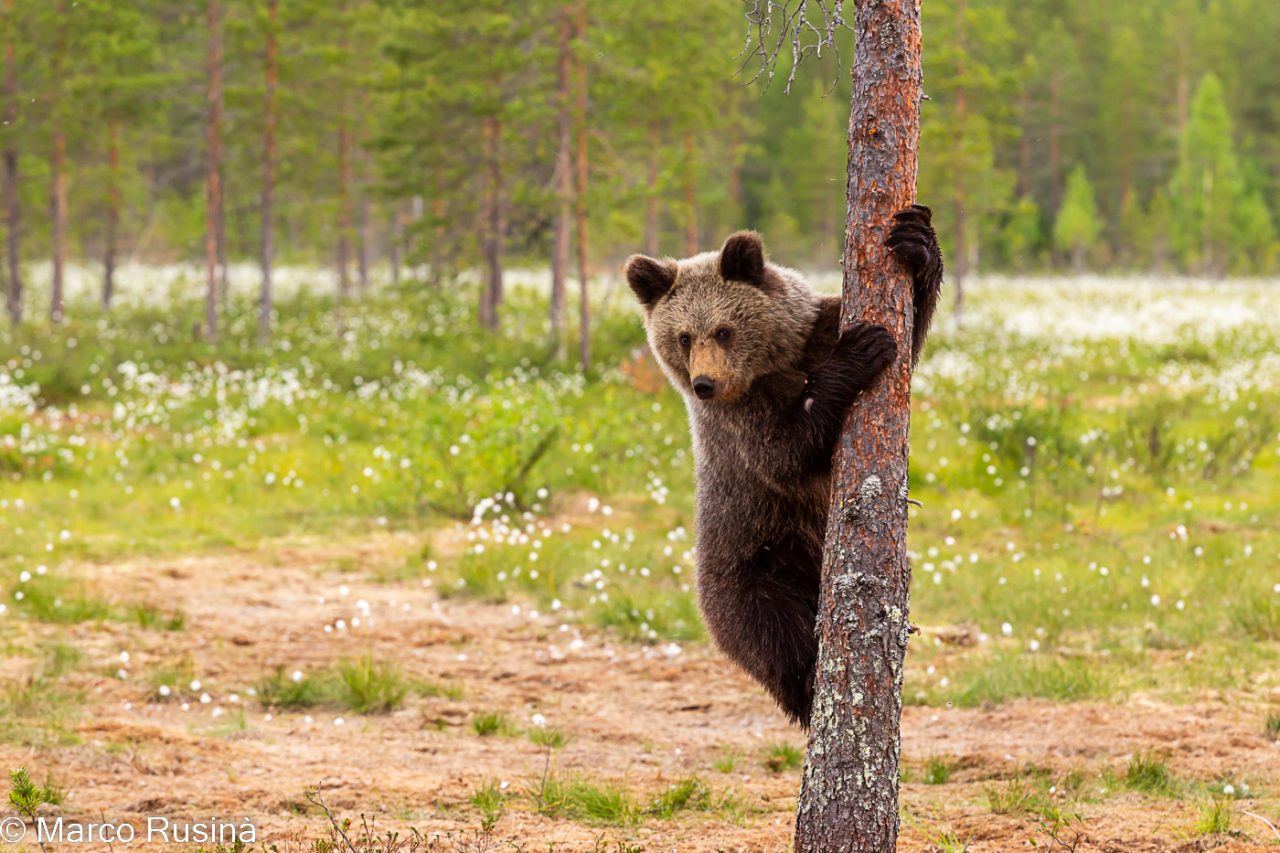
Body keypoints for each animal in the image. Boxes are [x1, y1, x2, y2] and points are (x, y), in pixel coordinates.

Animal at [627, 206, 942, 722]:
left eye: (724, 330)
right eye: (684, 336)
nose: (704, 383)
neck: (776, 364)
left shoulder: (816, 330)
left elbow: (909, 337)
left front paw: (916, 241)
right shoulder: (740, 422)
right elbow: (785, 454)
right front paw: (859, 352)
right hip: (756, 562)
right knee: (775, 636)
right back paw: (812, 683)